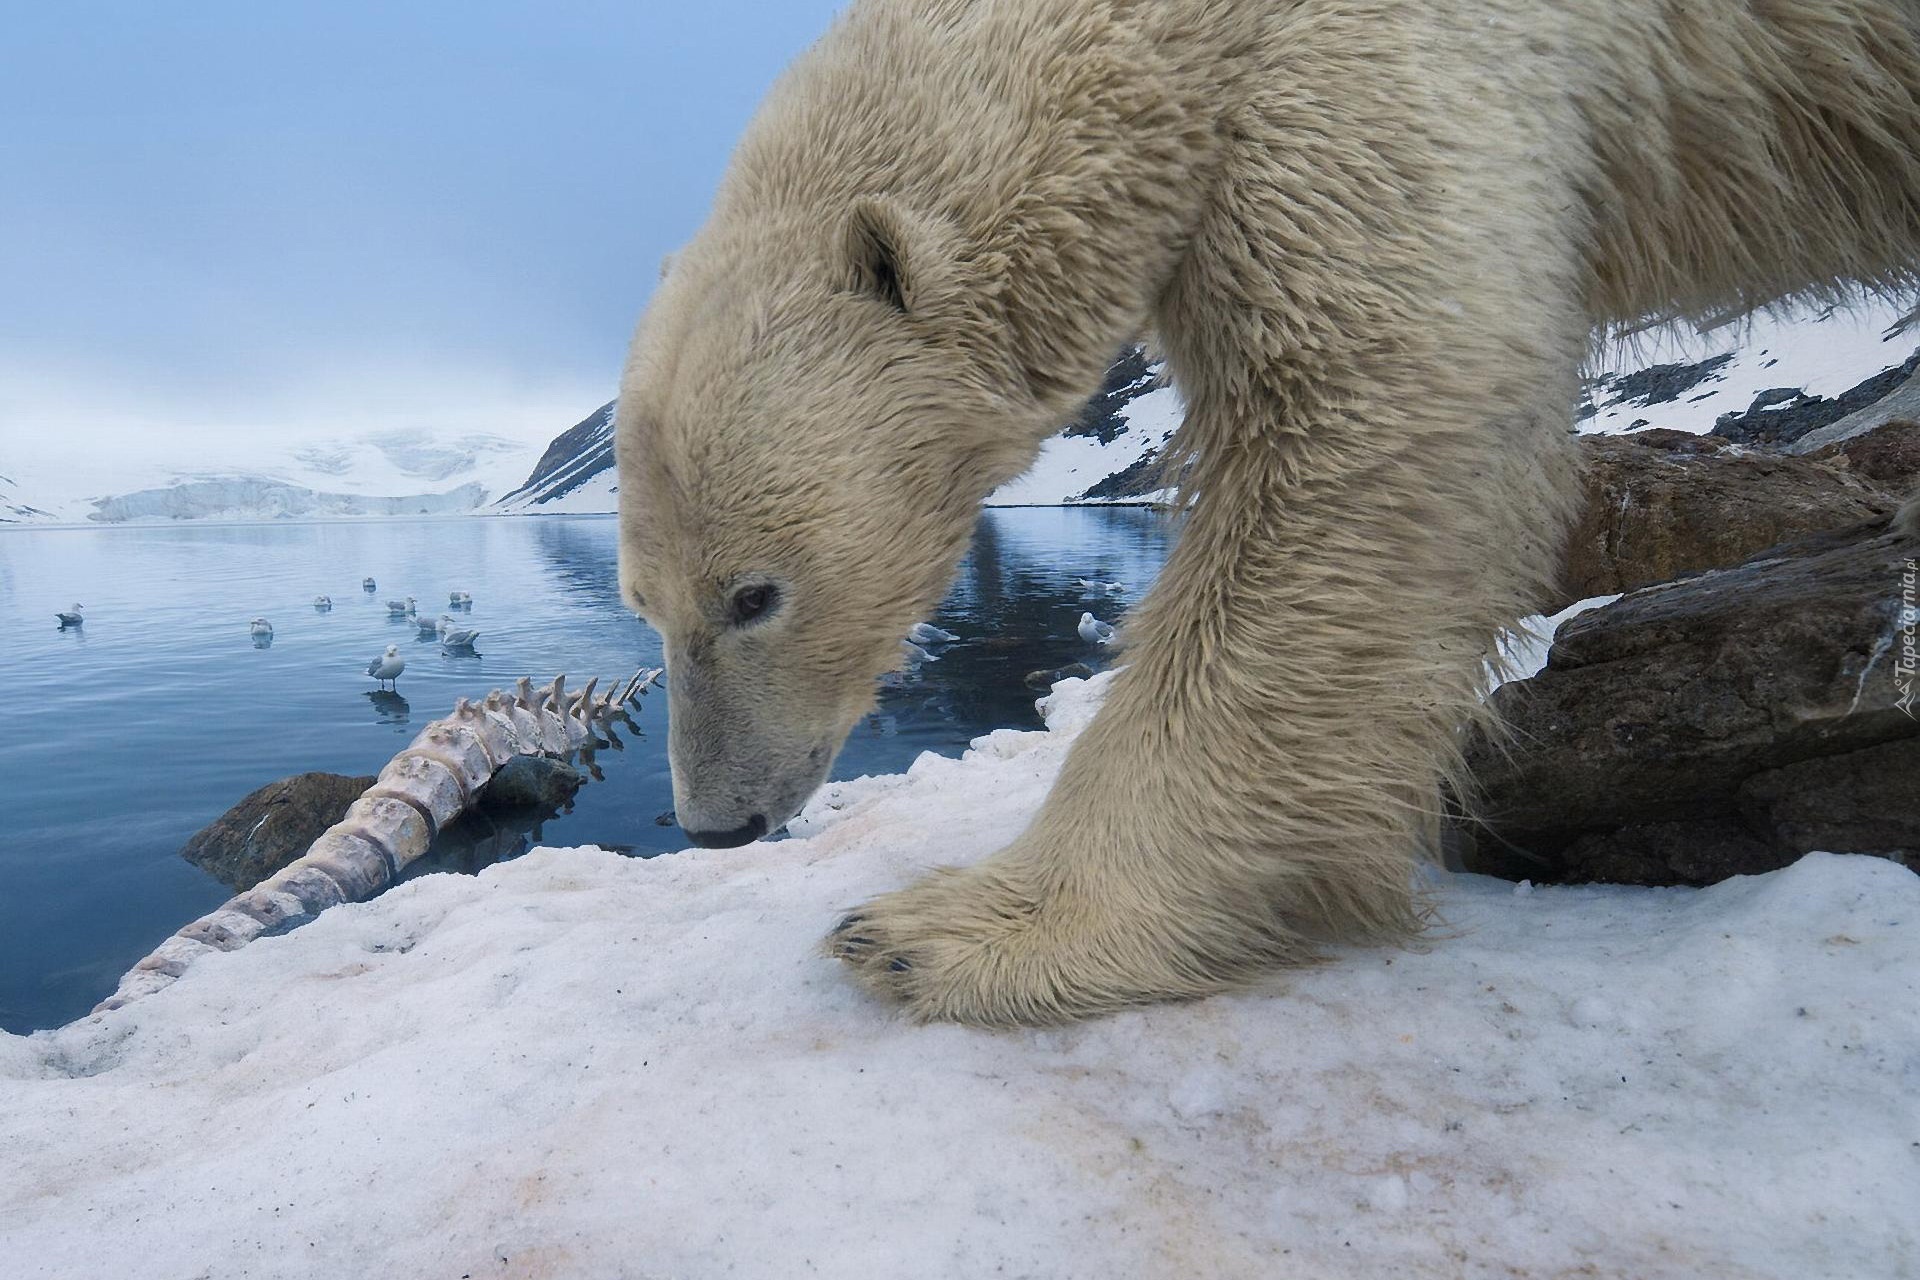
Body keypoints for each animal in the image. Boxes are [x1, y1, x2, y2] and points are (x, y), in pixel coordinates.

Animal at [614, 0, 1920, 1020]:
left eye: (755, 594)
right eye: (645, 602)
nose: (715, 824)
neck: (1167, 27)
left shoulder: (1373, 62)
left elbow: (1370, 417)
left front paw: (952, 930)